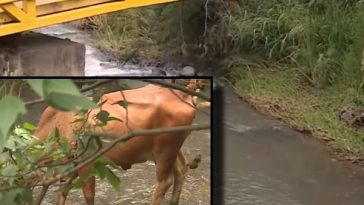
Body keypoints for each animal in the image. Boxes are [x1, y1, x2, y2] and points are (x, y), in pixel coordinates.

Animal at [34, 79, 210, 205]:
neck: (57, 122)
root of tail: (184, 94)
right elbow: (62, 192)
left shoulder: (86, 163)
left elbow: (88, 194)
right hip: (171, 149)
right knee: (181, 168)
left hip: (165, 150)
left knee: (165, 182)